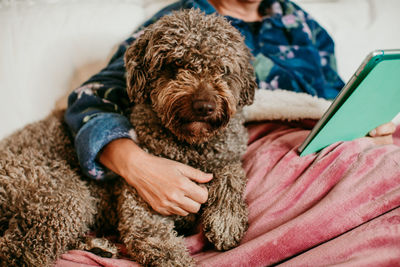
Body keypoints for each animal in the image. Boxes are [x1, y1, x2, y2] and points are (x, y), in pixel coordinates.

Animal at [0, 8, 256, 267]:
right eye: (175, 64)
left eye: (223, 68)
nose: (204, 106)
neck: (191, 146)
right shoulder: (145, 211)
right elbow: (164, 249)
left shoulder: (227, 156)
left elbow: (231, 173)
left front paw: (226, 220)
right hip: (63, 193)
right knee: (20, 249)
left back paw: (98, 247)